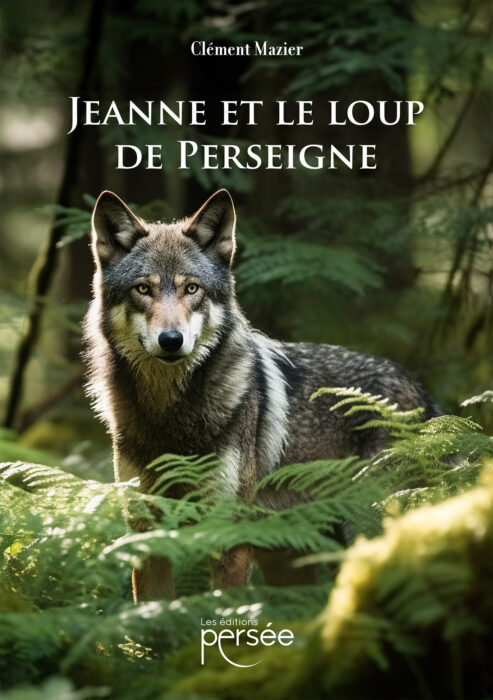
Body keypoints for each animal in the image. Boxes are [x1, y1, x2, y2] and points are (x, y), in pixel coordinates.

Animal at [84, 188, 440, 601]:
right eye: (144, 288)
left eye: (192, 288)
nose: (171, 340)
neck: (169, 417)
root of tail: (423, 395)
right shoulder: (147, 536)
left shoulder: (230, 535)